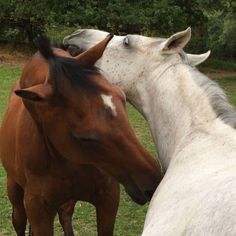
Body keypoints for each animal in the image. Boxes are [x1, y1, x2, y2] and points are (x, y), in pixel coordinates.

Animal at [0, 35, 162, 236]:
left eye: (122, 97)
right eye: (84, 137)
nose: (153, 181)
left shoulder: (108, 198)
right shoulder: (39, 211)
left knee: (65, 214)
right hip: (13, 186)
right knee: (19, 220)